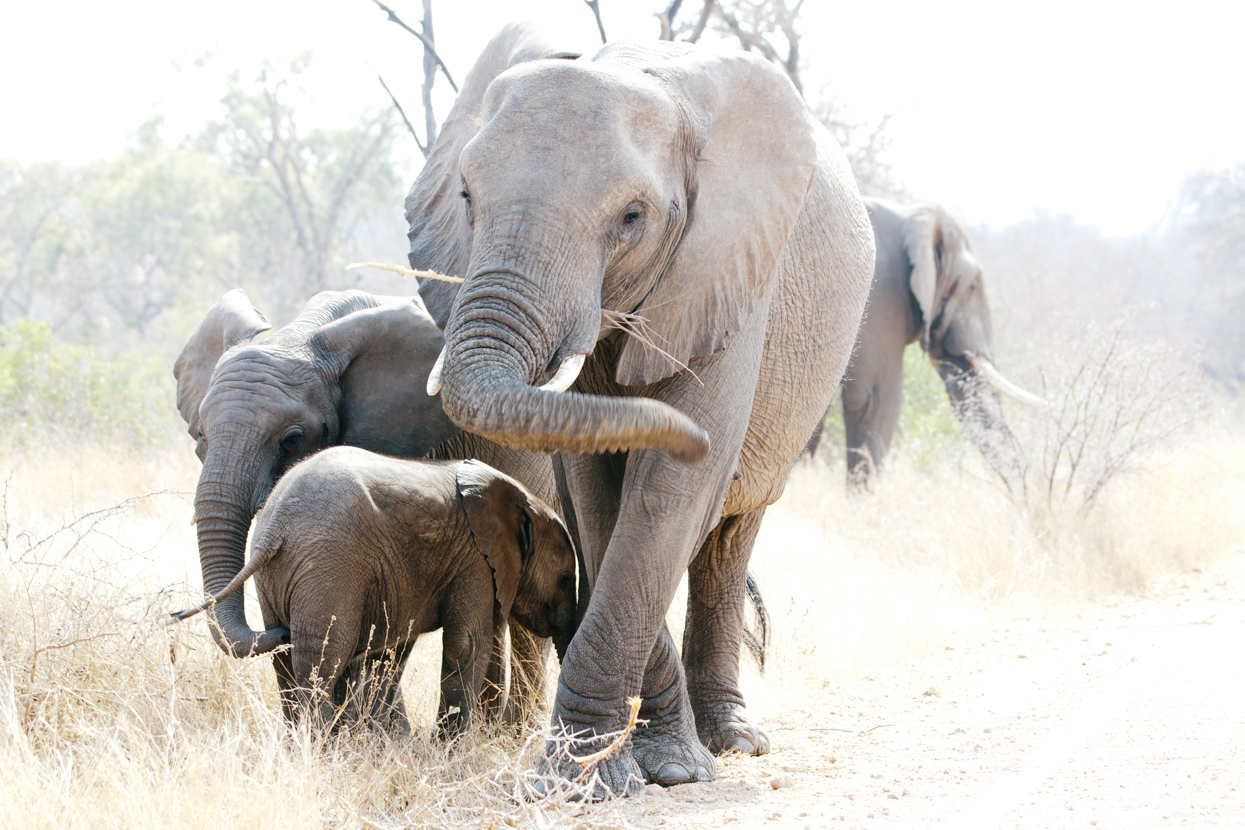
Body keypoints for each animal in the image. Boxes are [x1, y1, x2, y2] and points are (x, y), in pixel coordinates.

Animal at [171, 450, 577, 736]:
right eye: (564, 579)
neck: (522, 500)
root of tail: (273, 531)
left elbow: (390, 653)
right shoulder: (475, 560)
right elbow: (467, 644)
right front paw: (448, 752)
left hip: (281, 579)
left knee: (288, 665)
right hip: (330, 567)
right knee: (322, 661)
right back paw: (319, 751)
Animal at [403, 24, 871, 791]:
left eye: (632, 218)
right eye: (467, 196)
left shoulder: (727, 272)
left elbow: (669, 495)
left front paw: (635, 774)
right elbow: (600, 499)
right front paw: (611, 773)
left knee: (727, 536)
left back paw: (733, 742)